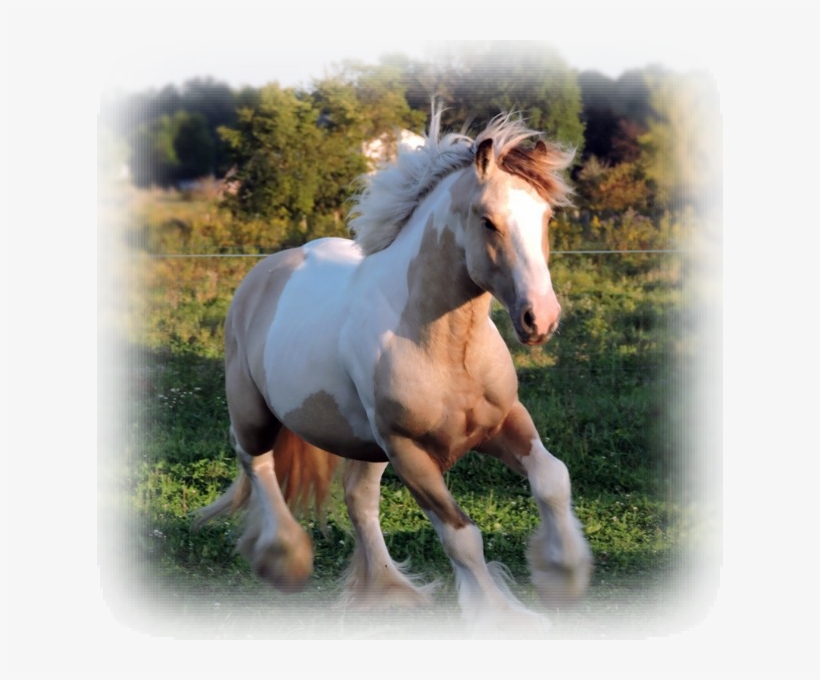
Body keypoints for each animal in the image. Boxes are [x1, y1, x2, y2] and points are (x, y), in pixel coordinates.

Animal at [195, 108, 593, 631]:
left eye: (546, 217)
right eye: (487, 221)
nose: (540, 319)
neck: (445, 346)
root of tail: (267, 270)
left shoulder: (503, 422)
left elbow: (552, 480)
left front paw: (564, 577)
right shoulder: (408, 452)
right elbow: (462, 536)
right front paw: (502, 617)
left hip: (366, 446)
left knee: (359, 500)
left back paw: (387, 590)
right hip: (256, 413)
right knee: (256, 463)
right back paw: (285, 560)